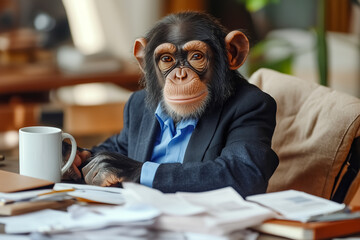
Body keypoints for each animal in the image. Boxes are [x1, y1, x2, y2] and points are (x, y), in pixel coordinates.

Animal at [63, 11, 278, 198]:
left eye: (196, 56)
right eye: (167, 59)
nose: (180, 75)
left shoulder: (254, 109)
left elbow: (240, 168)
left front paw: (113, 165)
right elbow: (114, 143)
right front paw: (70, 157)